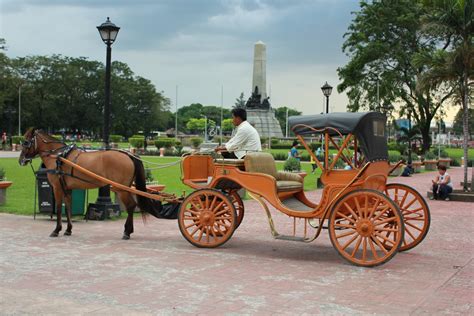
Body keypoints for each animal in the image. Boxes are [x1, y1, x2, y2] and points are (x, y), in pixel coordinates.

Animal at [19, 128, 156, 239]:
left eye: (26, 142)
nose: (21, 160)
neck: (59, 156)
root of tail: (129, 155)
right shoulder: (67, 188)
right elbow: (67, 207)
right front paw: (68, 229)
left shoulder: (57, 188)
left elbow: (58, 208)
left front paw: (57, 230)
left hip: (120, 189)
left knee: (131, 206)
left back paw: (127, 232)